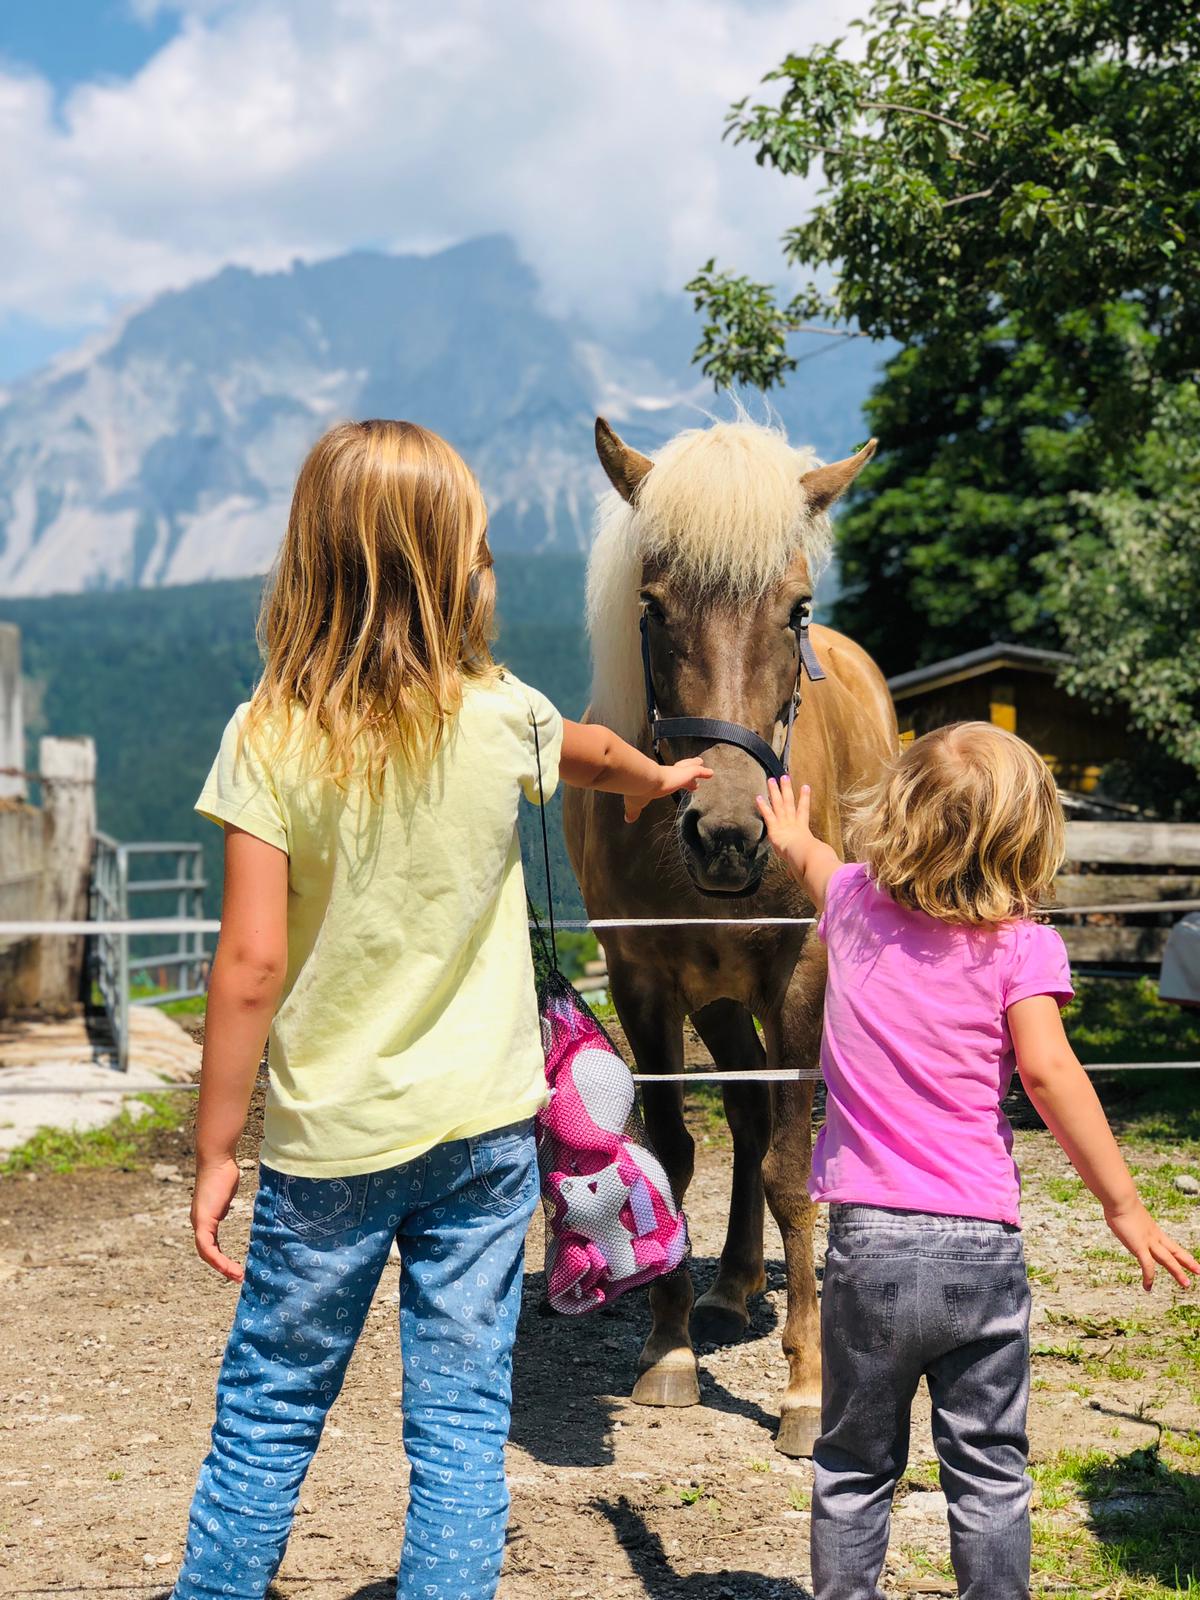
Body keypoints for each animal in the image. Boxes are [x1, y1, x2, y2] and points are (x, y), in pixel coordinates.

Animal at [563, 414, 897, 1456]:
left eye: (794, 610)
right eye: (653, 608)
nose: (729, 834)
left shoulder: (799, 973)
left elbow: (795, 1170)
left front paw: (807, 1387)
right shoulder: (643, 977)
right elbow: (676, 1151)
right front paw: (668, 1346)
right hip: (714, 996)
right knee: (745, 1113)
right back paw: (734, 1287)